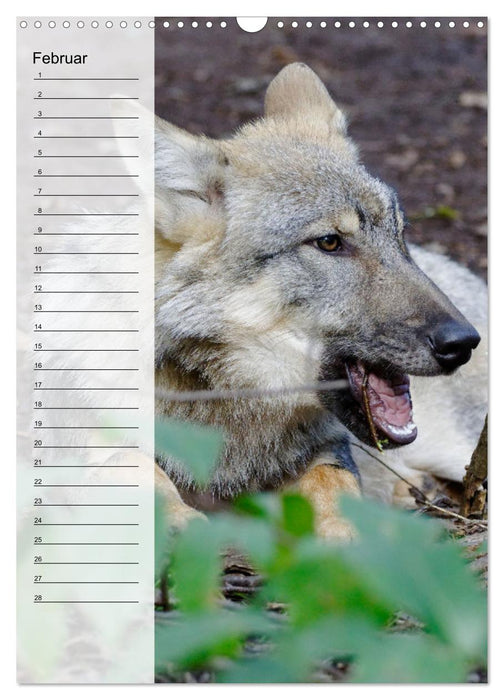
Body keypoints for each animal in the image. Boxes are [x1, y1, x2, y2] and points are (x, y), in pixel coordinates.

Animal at [154, 63, 487, 537]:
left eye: (398, 234)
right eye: (329, 242)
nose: (462, 342)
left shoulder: (328, 452)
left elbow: (335, 487)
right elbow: (143, 474)